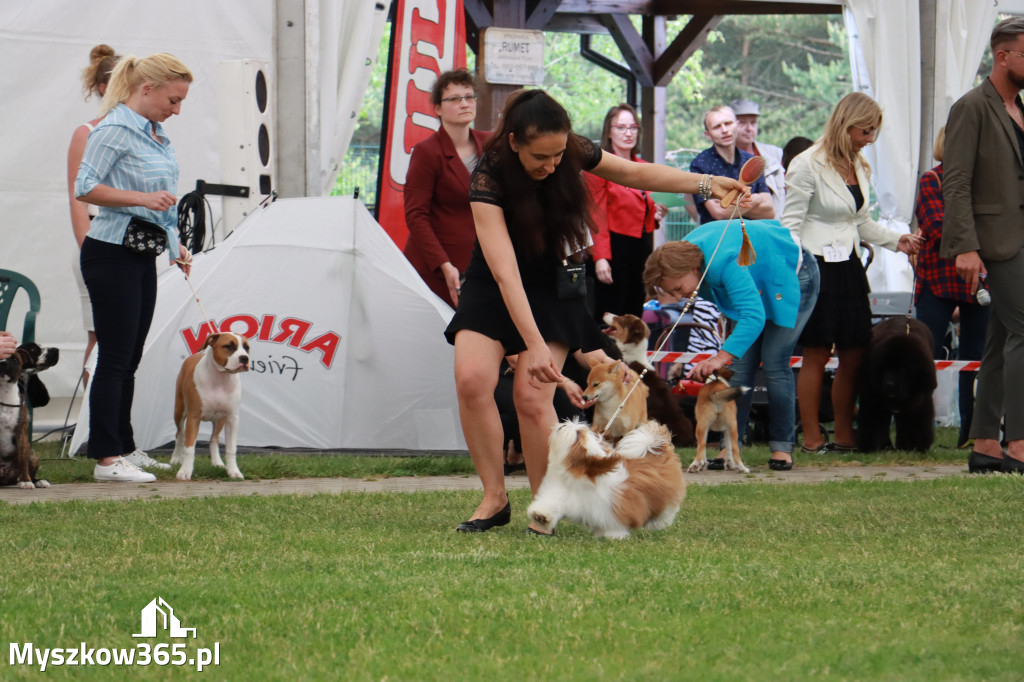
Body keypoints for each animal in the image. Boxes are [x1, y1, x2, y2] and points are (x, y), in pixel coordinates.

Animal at [0, 342, 58, 485]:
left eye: (15, 359)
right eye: (33, 348)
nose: (3, 363)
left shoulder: (21, 432)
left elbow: (23, 461)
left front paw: (27, 481)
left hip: (32, 454)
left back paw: (36, 481)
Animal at [171, 329, 250, 477]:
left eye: (246, 348)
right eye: (228, 346)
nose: (245, 358)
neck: (220, 378)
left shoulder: (232, 418)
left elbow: (231, 448)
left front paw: (233, 471)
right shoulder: (193, 416)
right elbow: (189, 447)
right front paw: (185, 471)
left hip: (219, 420)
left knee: (214, 439)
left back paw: (217, 462)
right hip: (179, 411)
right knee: (180, 434)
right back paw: (176, 458)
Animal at [528, 413, 688, 536]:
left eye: (578, 435)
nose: (562, 426)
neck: (576, 479)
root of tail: (657, 449)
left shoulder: (615, 506)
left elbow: (615, 523)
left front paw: (614, 536)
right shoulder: (560, 494)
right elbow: (551, 505)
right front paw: (540, 516)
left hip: (667, 494)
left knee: (667, 509)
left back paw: (657, 523)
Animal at [856, 319, 937, 450]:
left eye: (903, 370)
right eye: (885, 368)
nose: (889, 384)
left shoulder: (920, 402)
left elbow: (916, 425)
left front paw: (913, 447)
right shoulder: (873, 400)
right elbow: (873, 424)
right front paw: (870, 447)